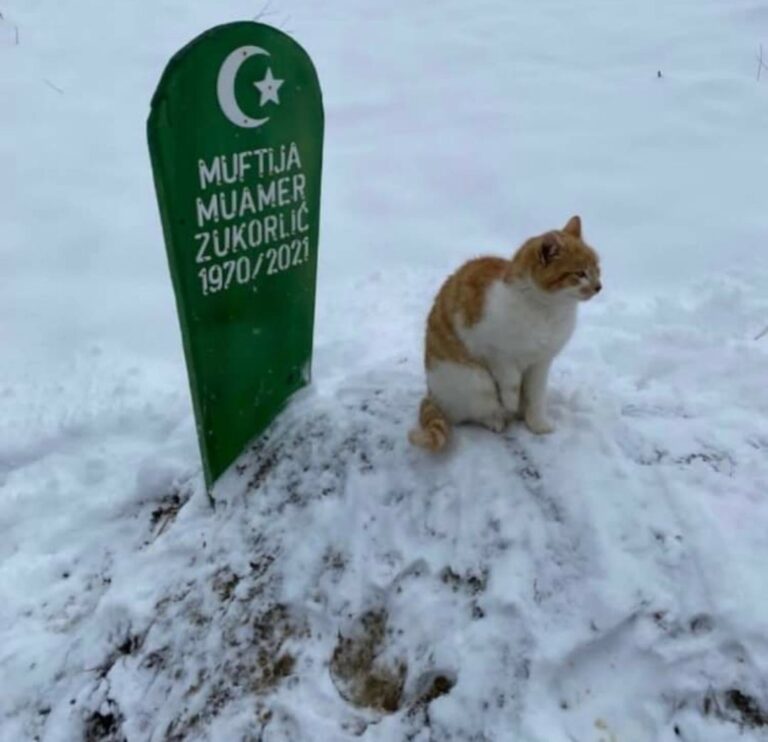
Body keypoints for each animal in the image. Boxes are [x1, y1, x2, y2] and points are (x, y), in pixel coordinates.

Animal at [408, 217, 600, 454]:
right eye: (580, 273)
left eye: (597, 269)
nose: (599, 286)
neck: (547, 310)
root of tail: (431, 394)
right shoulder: (494, 352)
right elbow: (511, 382)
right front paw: (511, 402)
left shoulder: (541, 362)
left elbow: (536, 395)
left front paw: (537, 423)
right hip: (474, 380)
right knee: (474, 411)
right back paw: (497, 419)